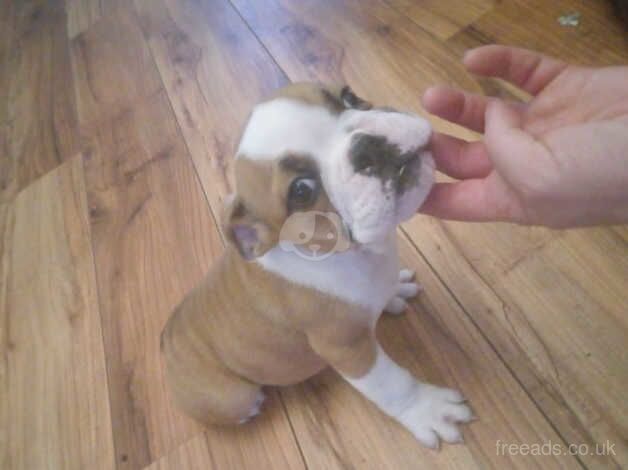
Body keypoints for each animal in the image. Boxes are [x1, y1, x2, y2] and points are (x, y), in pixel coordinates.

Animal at [162, 82, 472, 446]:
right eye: (301, 191)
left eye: (349, 97)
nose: (367, 147)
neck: (355, 254)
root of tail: (165, 342)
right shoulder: (345, 348)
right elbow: (391, 385)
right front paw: (426, 408)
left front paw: (394, 291)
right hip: (232, 397)